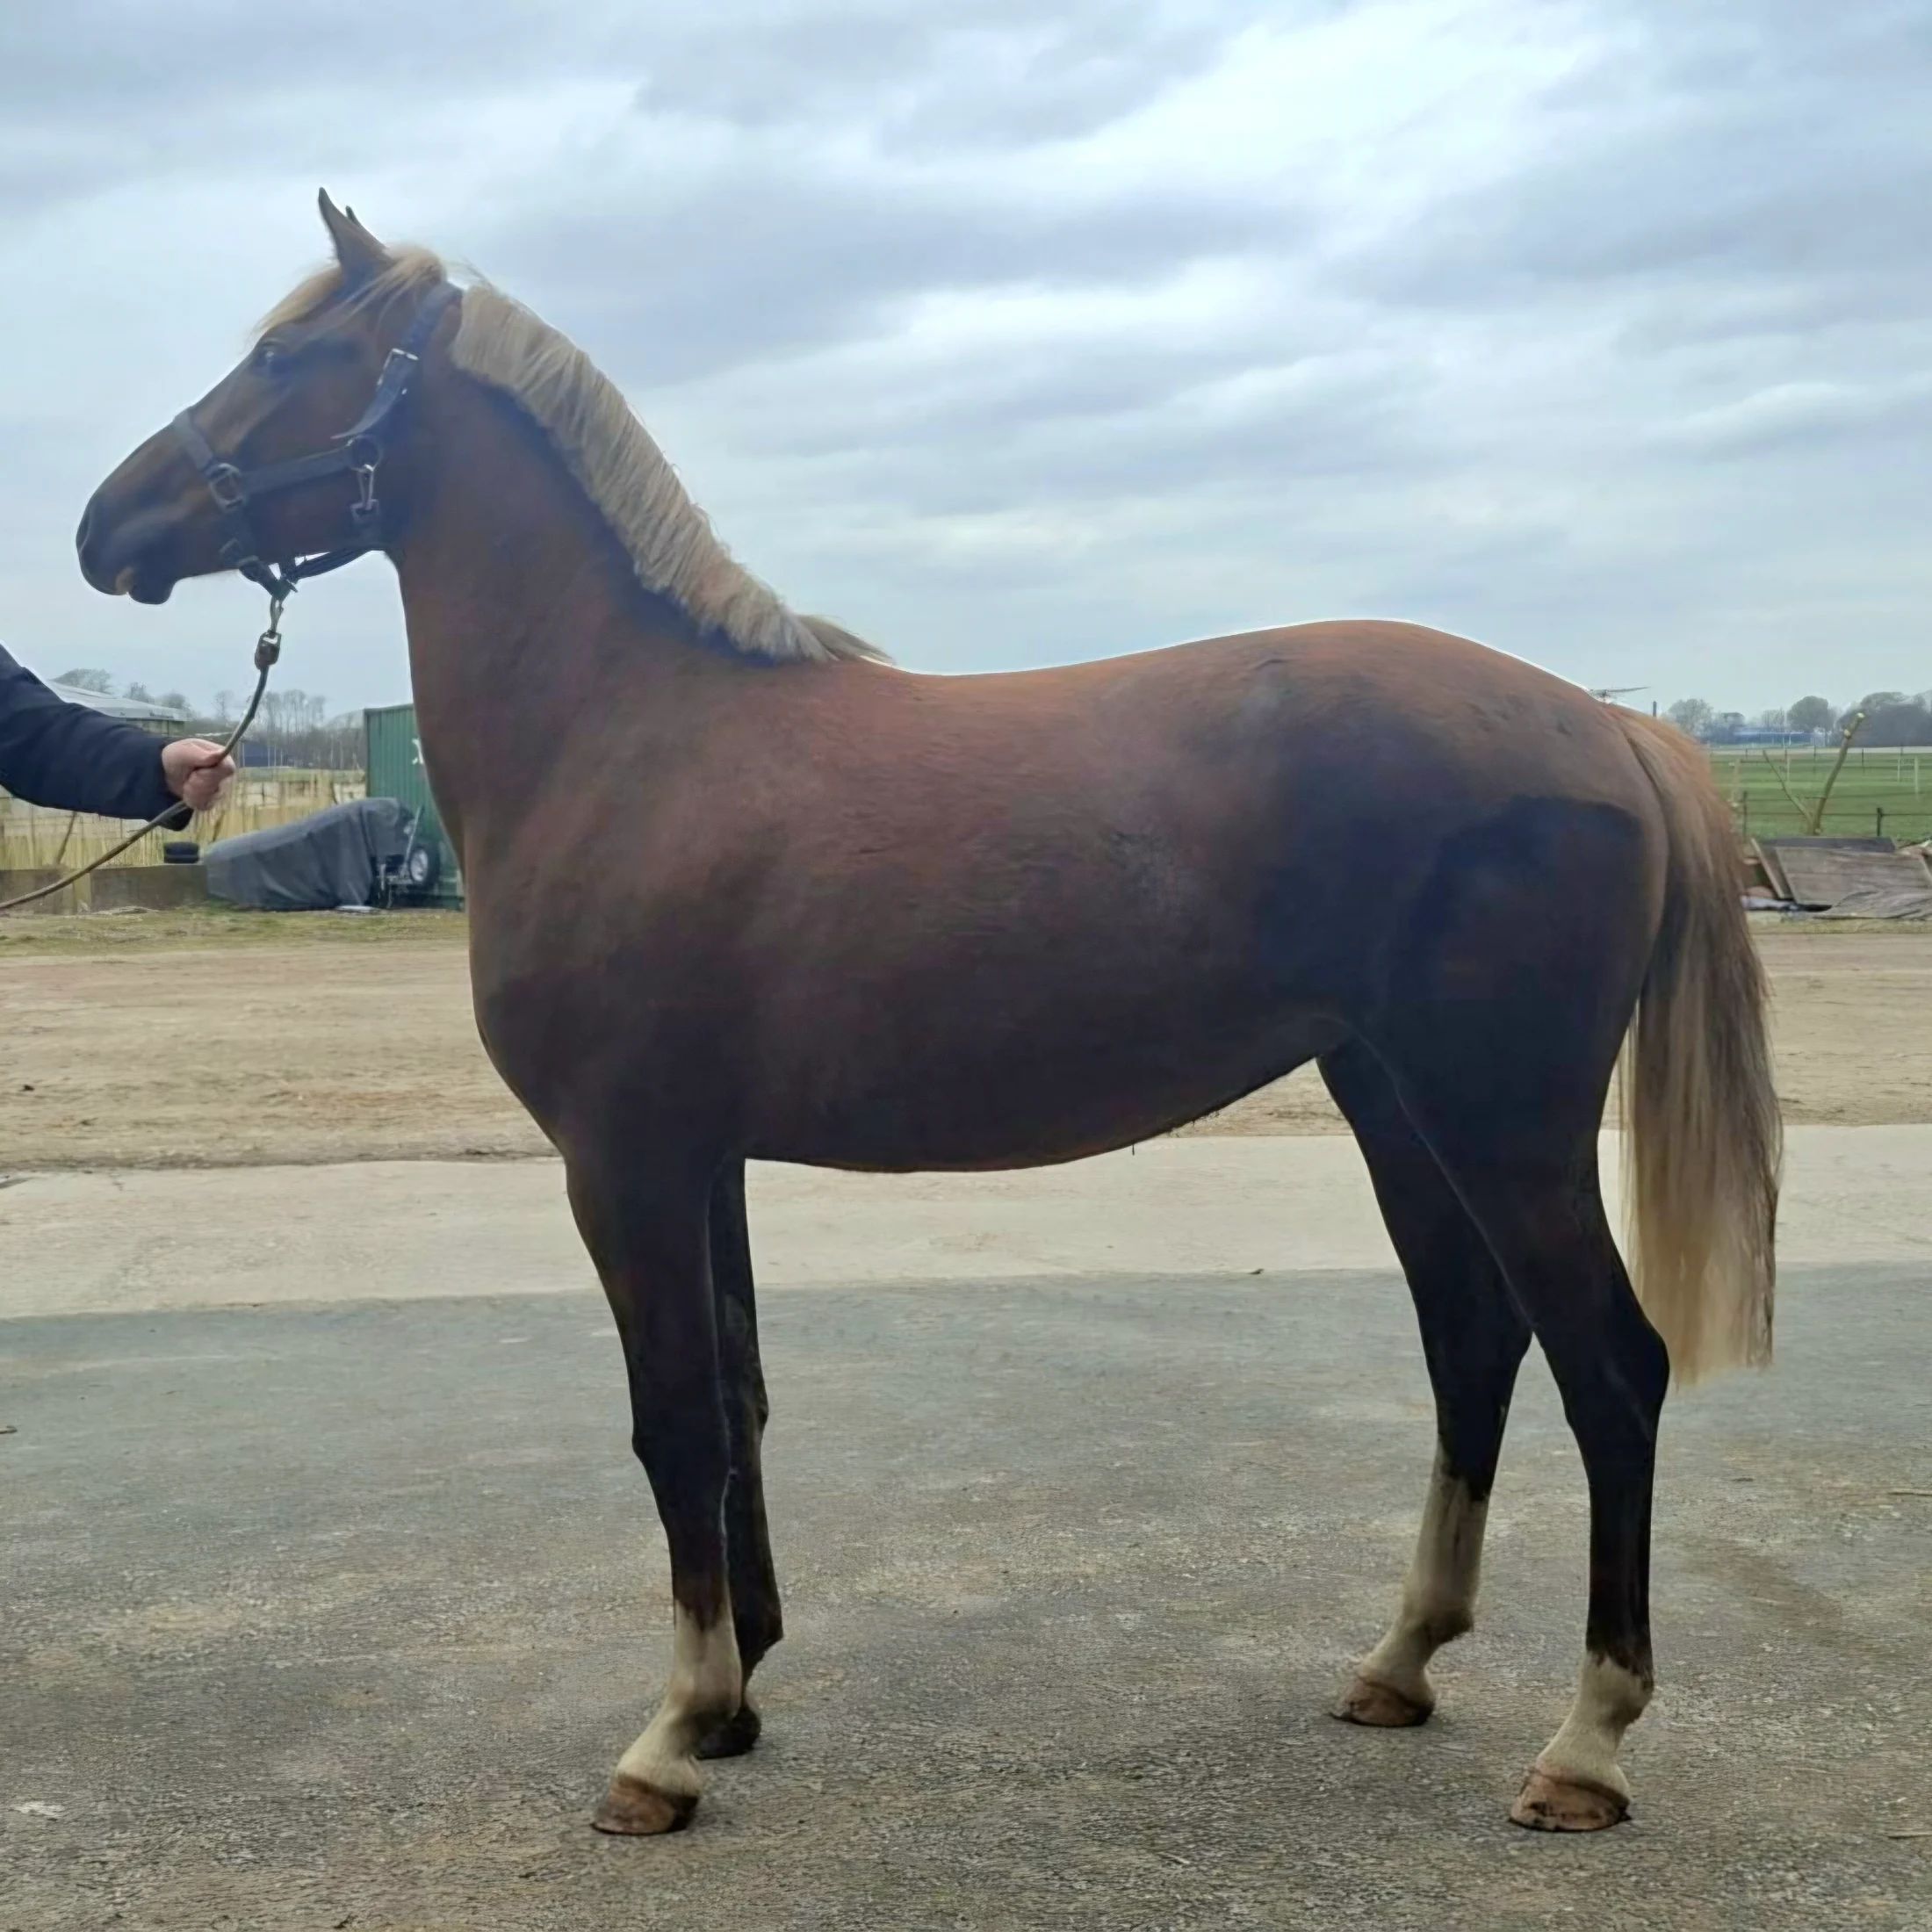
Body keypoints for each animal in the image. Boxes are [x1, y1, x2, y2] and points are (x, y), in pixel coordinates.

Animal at [77, 193, 1779, 1839]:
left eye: (288, 360)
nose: (105, 525)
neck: (630, 735)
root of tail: (1609, 729)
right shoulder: (700, 1156)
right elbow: (738, 1403)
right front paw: (733, 1699)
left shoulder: (622, 1160)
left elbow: (673, 1421)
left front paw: (667, 1744)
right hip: (1393, 1100)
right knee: (1473, 1342)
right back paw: (1402, 1661)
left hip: (1502, 1121)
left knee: (1611, 1368)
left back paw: (1587, 1745)